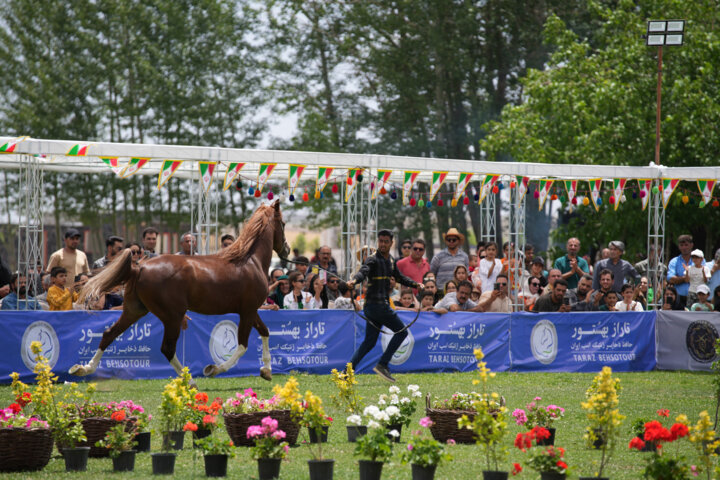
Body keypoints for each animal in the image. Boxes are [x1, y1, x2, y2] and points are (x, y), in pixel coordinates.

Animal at [69, 202, 290, 382]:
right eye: (283, 223)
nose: (287, 249)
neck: (250, 261)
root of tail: (139, 267)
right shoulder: (248, 311)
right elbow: (242, 345)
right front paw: (213, 369)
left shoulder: (250, 311)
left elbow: (265, 331)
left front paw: (266, 371)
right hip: (172, 316)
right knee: (167, 348)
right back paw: (189, 380)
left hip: (134, 310)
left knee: (109, 334)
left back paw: (83, 368)